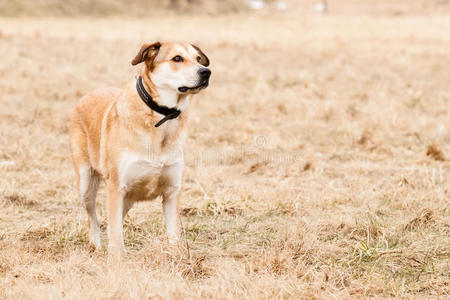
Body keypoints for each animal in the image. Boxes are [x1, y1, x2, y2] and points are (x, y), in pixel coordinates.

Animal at [68, 41, 211, 258]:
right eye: (177, 58)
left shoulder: (171, 192)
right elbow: (115, 234)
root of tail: (88, 94)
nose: (206, 72)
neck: (160, 117)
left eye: (198, 59)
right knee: (95, 218)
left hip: (127, 198)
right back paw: (95, 245)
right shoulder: (116, 188)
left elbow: (174, 235)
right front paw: (117, 261)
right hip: (86, 184)